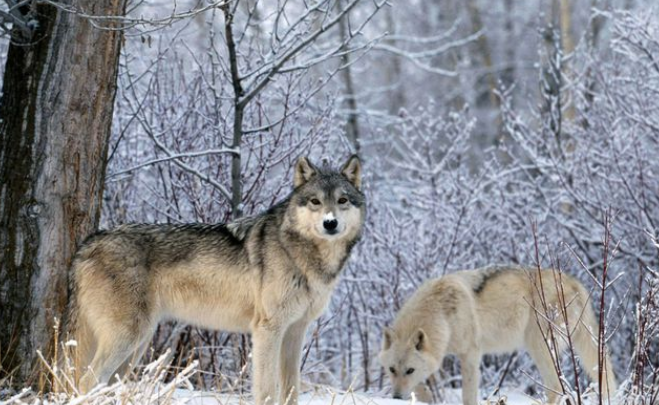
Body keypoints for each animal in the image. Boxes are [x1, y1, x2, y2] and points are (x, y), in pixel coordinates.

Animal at [65, 155, 366, 404]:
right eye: (316, 201)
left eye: (342, 201)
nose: (330, 223)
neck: (303, 254)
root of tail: (87, 244)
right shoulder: (267, 330)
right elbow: (267, 391)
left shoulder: (295, 331)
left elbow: (291, 391)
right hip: (128, 338)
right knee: (87, 380)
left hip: (137, 345)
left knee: (106, 384)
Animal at [382, 266, 620, 404]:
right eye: (392, 370)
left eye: (409, 370)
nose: (396, 397)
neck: (441, 312)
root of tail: (575, 284)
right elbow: (424, 390)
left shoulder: (470, 354)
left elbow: (468, 396)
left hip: (538, 346)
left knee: (555, 386)